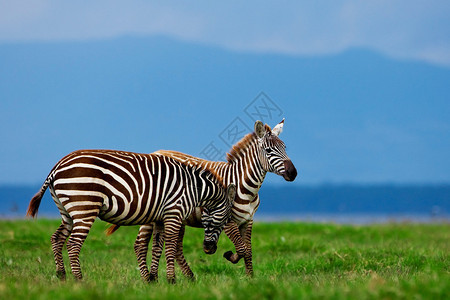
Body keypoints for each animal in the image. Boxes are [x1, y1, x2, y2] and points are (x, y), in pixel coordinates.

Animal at [25, 150, 236, 284]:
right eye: (226, 221)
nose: (209, 249)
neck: (194, 189)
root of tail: (56, 167)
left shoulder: (160, 218)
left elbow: (157, 247)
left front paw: (154, 279)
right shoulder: (174, 213)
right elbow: (170, 247)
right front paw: (172, 280)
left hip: (67, 212)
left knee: (57, 238)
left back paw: (61, 276)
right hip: (84, 208)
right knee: (73, 244)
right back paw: (79, 280)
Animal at [114, 118, 296, 278]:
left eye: (285, 147)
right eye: (269, 151)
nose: (293, 173)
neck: (246, 188)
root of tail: (155, 152)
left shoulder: (248, 221)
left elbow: (248, 251)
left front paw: (250, 279)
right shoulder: (227, 221)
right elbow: (242, 249)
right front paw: (230, 256)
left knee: (176, 248)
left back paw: (189, 277)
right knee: (140, 245)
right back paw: (148, 279)